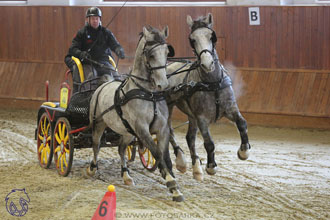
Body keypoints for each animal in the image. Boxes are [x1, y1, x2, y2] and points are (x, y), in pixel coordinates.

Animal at [86, 25, 184, 201]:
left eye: (167, 53)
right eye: (151, 55)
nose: (163, 84)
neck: (148, 94)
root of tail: (103, 84)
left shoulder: (162, 129)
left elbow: (165, 156)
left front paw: (175, 188)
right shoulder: (142, 129)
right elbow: (157, 153)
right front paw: (171, 182)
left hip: (127, 132)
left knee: (121, 149)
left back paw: (126, 176)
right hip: (98, 124)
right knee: (96, 146)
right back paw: (92, 168)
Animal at [166, 13, 251, 180]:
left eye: (212, 36)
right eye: (192, 40)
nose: (207, 63)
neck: (212, 84)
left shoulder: (231, 109)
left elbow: (242, 124)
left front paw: (244, 151)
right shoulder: (202, 118)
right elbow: (209, 143)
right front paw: (211, 166)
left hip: (191, 116)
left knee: (190, 138)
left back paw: (196, 168)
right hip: (168, 107)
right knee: (169, 131)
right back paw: (181, 161)